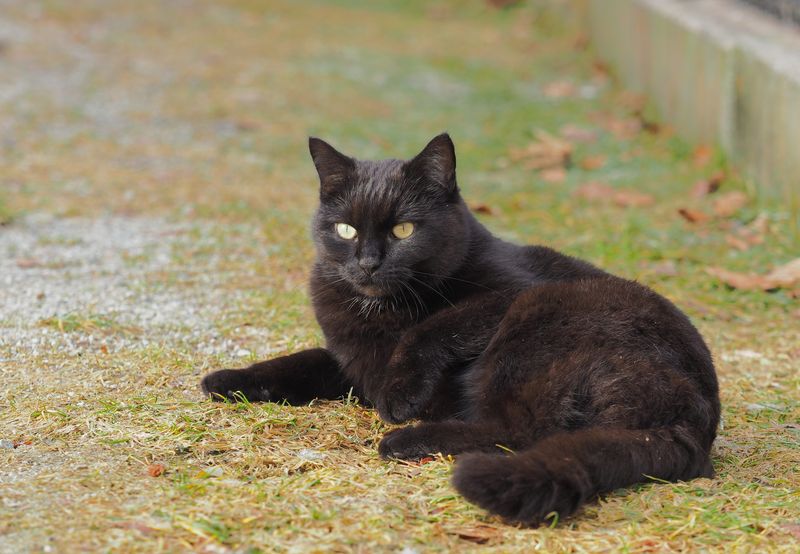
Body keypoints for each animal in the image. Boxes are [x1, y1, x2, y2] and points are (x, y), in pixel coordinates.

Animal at [200, 133, 720, 520]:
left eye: (404, 230)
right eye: (345, 229)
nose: (367, 263)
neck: (380, 312)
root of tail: (693, 416)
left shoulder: (510, 292)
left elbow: (436, 326)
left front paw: (400, 395)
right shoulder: (351, 358)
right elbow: (303, 361)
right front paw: (230, 380)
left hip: (540, 314)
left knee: (519, 429)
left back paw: (406, 440)